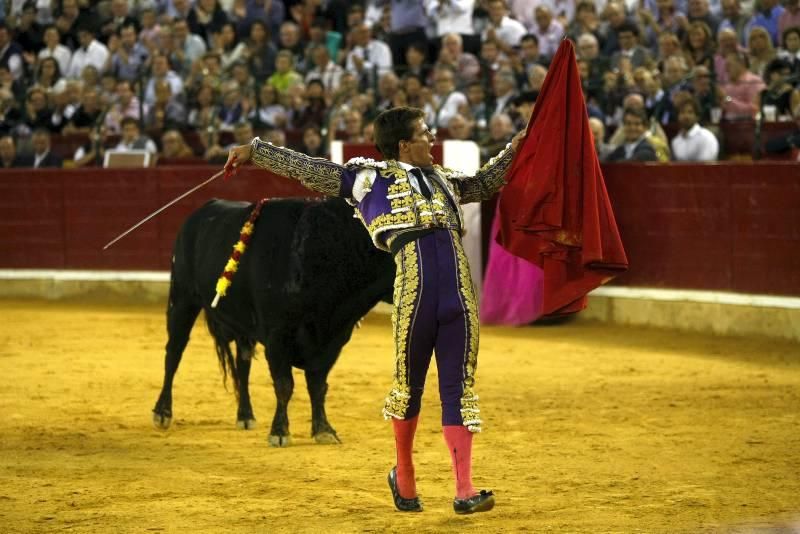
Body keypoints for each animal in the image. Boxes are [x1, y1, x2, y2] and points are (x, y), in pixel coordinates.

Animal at [152, 198, 396, 448]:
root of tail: (201, 211)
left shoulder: (332, 341)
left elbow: (318, 386)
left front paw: (324, 430)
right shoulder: (278, 336)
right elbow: (284, 385)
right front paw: (279, 432)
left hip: (241, 324)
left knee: (243, 365)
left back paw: (245, 416)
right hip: (182, 299)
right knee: (173, 353)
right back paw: (162, 412)